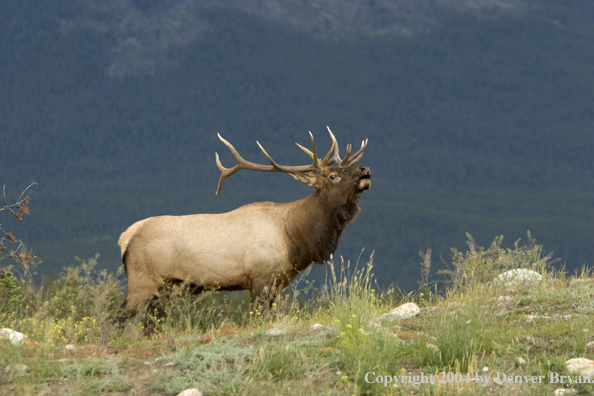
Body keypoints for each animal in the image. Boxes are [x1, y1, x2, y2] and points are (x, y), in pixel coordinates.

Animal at [113, 128, 368, 330]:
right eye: (333, 176)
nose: (365, 169)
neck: (294, 239)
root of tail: (126, 237)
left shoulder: (276, 283)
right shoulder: (260, 277)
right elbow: (259, 319)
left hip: (168, 287)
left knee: (151, 321)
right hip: (142, 280)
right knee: (118, 318)